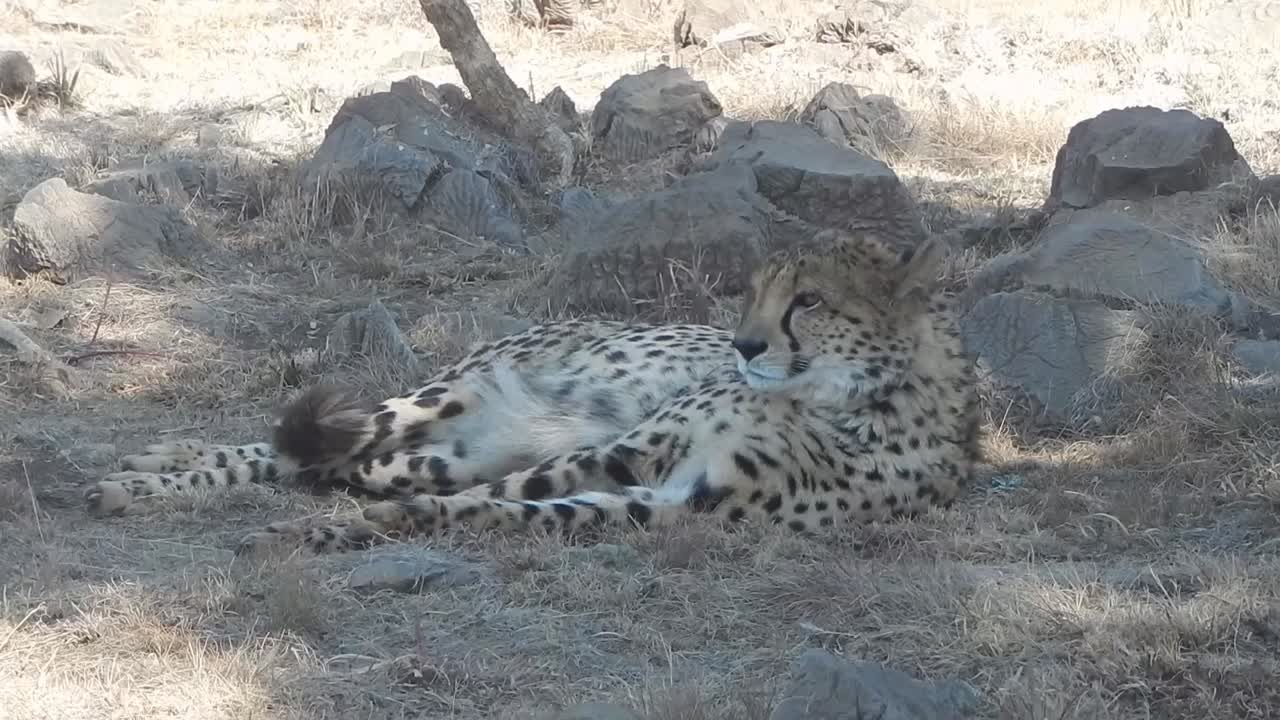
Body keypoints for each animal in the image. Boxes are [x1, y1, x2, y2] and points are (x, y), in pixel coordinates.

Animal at [84, 228, 982, 554]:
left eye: (811, 300)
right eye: (755, 291)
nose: (743, 345)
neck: (841, 403)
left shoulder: (677, 502)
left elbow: (521, 509)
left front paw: (372, 525)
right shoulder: (633, 447)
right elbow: (519, 493)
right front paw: (350, 523)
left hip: (459, 443)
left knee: (338, 459)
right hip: (447, 399)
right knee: (314, 443)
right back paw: (142, 476)